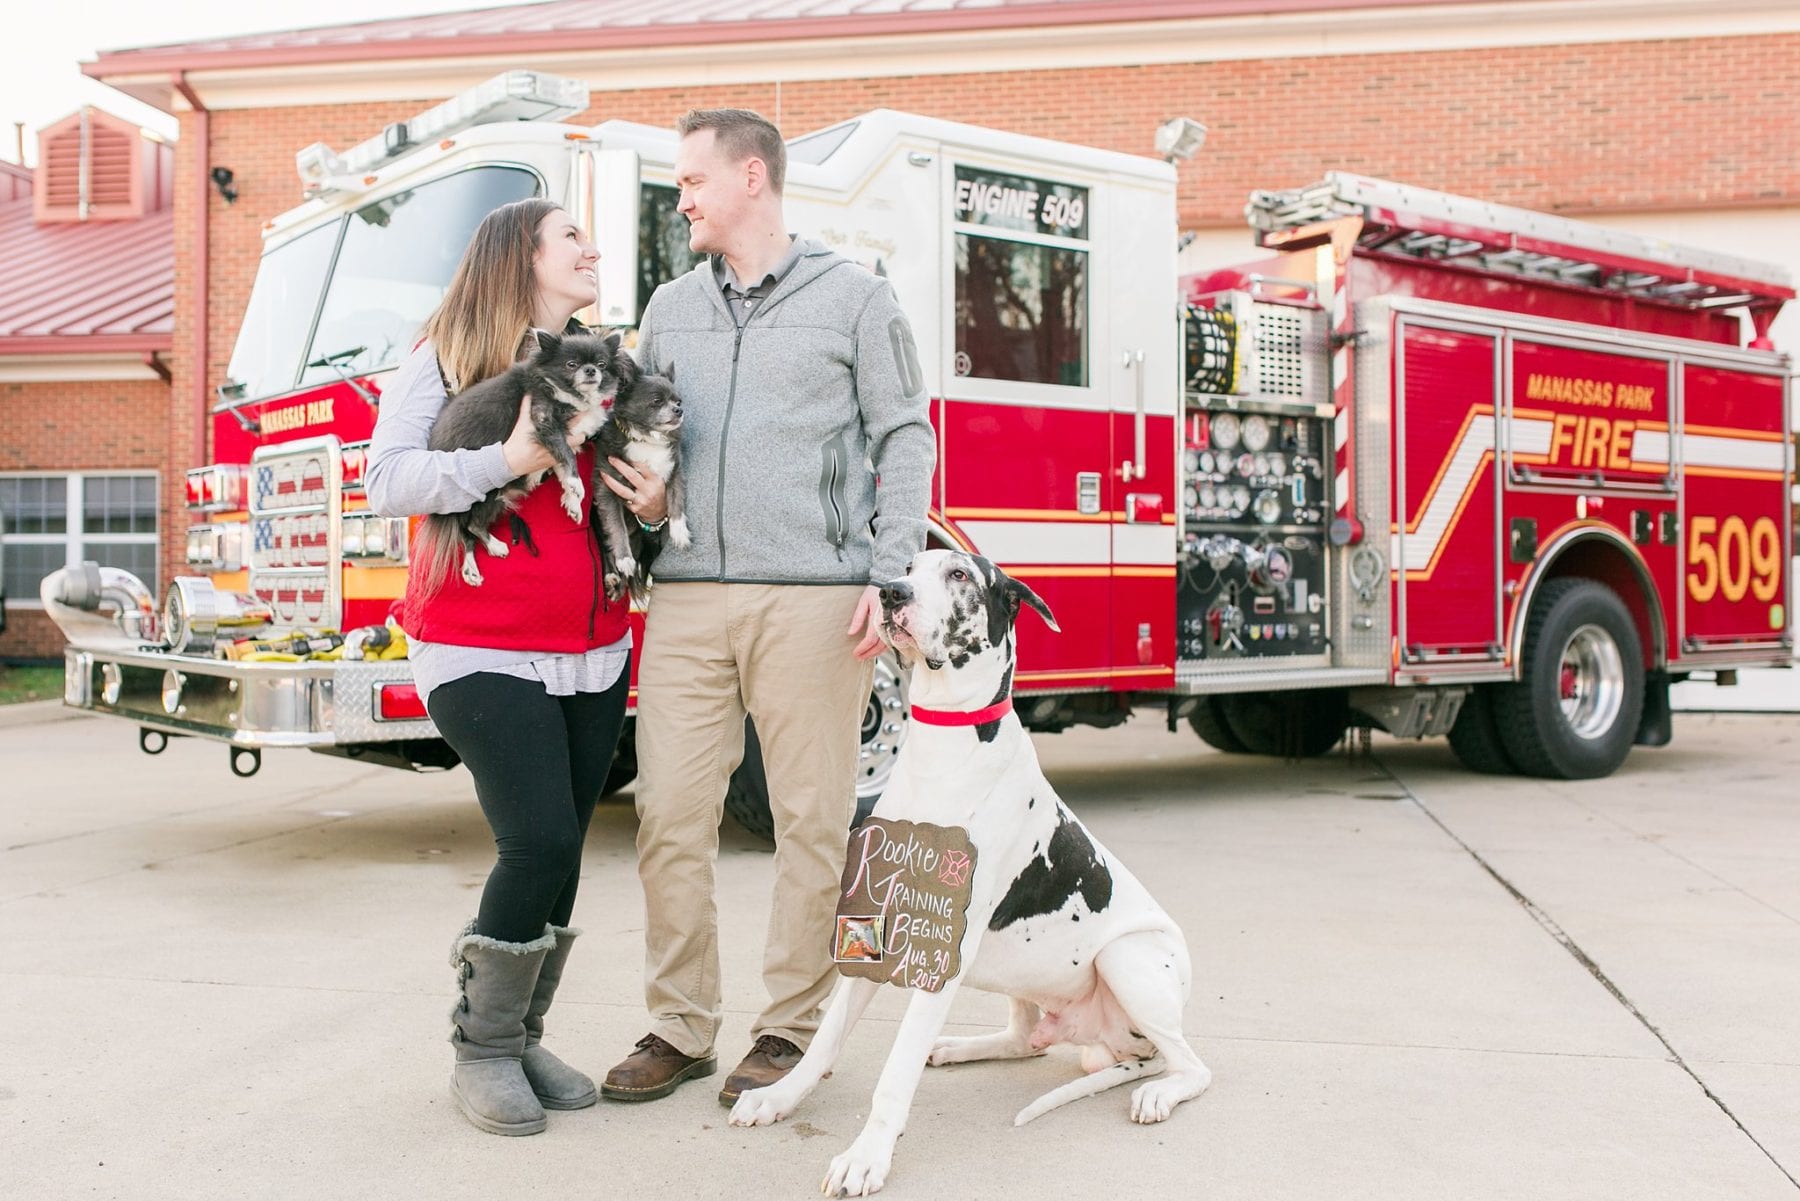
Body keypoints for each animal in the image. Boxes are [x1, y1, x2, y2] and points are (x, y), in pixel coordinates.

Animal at [414, 329, 633, 590]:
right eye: (571, 365)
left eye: (602, 364)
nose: (590, 370)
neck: (567, 395)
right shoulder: (545, 422)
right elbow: (567, 456)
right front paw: (576, 485)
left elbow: (560, 465)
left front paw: (572, 501)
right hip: (485, 493)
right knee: (469, 526)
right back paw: (490, 550)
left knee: (467, 531)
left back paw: (478, 560)